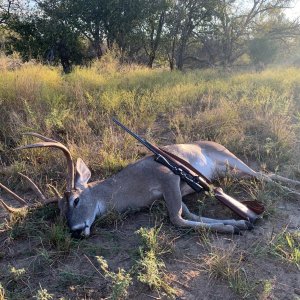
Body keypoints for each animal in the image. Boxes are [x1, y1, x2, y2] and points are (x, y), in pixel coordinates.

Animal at [1, 132, 300, 237]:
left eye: (76, 199)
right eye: (60, 212)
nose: (75, 231)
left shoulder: (168, 176)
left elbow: (177, 219)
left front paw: (234, 226)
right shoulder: (174, 192)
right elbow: (189, 214)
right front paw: (238, 223)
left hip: (229, 157)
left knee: (263, 174)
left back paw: (291, 188)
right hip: (228, 172)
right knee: (261, 175)